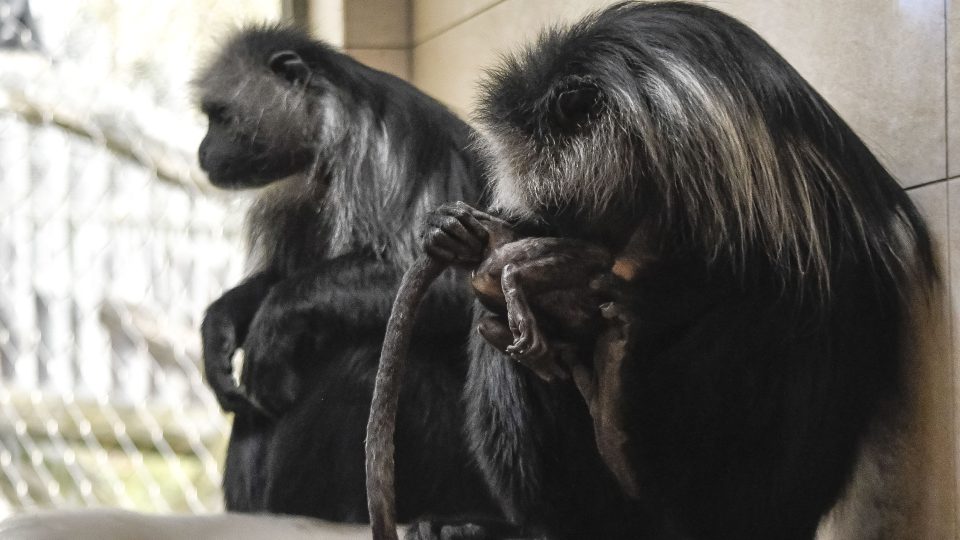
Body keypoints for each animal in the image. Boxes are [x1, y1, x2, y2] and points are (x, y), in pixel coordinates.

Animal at [193, 26, 496, 524]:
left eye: (221, 117)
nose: (202, 150)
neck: (326, 132)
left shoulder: (381, 149)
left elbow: (453, 285)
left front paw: (277, 316)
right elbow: (282, 275)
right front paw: (220, 324)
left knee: (362, 356)